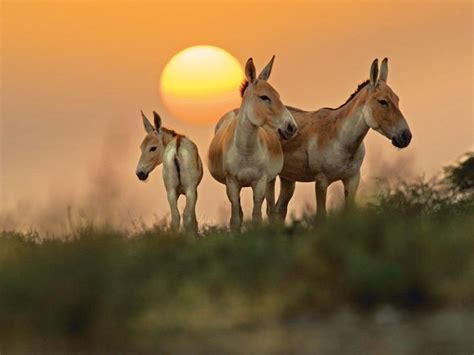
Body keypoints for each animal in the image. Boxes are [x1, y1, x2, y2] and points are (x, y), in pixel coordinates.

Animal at [208, 56, 296, 231]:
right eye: (264, 97)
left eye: (278, 95)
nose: (292, 127)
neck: (246, 151)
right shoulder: (232, 183)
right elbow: (235, 219)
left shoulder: (260, 182)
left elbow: (257, 217)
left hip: (270, 180)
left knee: (271, 209)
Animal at [276, 58, 412, 220]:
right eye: (383, 102)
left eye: (397, 100)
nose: (406, 136)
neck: (342, 140)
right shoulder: (321, 181)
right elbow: (321, 215)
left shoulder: (352, 179)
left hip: (287, 178)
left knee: (278, 210)